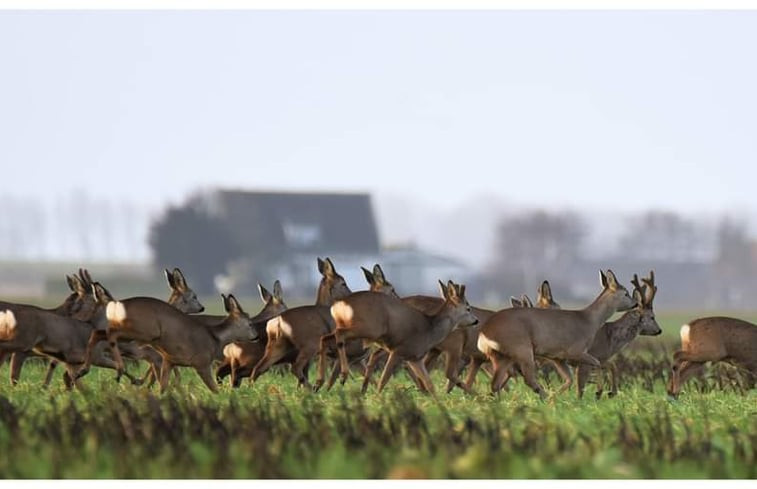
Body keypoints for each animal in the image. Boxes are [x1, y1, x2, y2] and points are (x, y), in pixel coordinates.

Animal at [320, 278, 476, 392]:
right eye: (468, 308)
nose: (476, 321)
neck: (430, 330)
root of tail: (339, 304)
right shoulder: (398, 350)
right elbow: (384, 379)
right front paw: (378, 398)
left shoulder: (414, 358)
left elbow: (430, 384)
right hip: (369, 328)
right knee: (339, 335)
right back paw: (343, 375)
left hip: (348, 326)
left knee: (325, 338)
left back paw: (319, 382)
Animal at [482, 268, 636, 398]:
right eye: (626, 293)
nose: (635, 303)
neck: (589, 321)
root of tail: (485, 334)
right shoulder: (576, 351)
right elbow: (596, 364)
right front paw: (600, 392)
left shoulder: (559, 358)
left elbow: (570, 379)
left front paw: (556, 399)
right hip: (522, 350)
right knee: (527, 379)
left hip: (503, 356)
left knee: (496, 383)